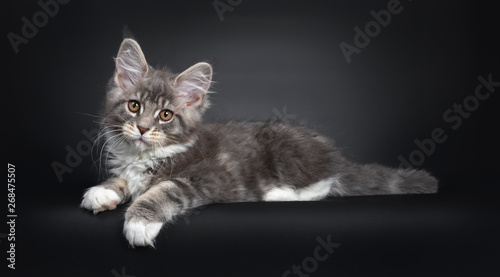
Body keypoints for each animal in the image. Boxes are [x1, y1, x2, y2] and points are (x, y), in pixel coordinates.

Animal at [80, 36, 436, 246]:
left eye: (165, 116)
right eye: (134, 106)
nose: (141, 129)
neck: (146, 155)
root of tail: (334, 156)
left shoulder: (211, 177)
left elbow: (165, 188)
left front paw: (139, 220)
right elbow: (125, 179)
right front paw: (104, 191)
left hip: (286, 148)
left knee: (325, 184)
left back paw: (278, 193)